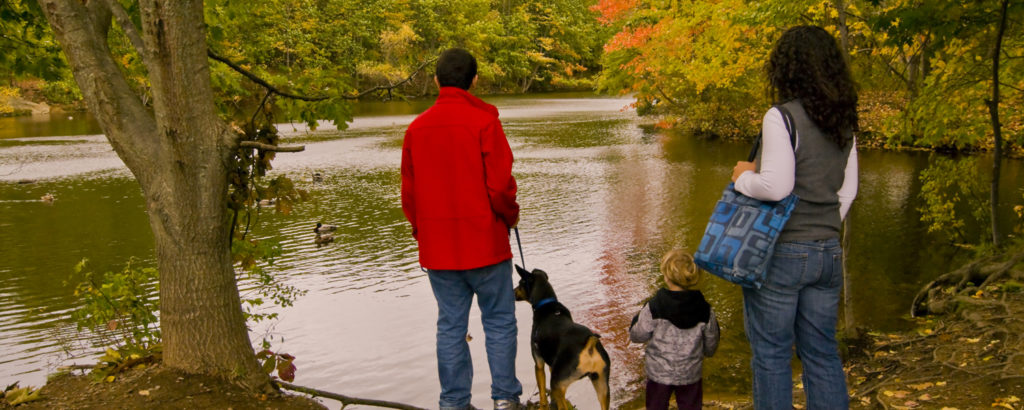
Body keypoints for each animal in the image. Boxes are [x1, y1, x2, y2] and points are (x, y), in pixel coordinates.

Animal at [512, 264, 606, 407]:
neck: (546, 304)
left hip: (557, 382)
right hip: (602, 385)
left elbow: (542, 396)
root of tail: (589, 345)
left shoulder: (538, 364)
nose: (512, 292)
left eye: (520, 283)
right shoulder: (552, 365)